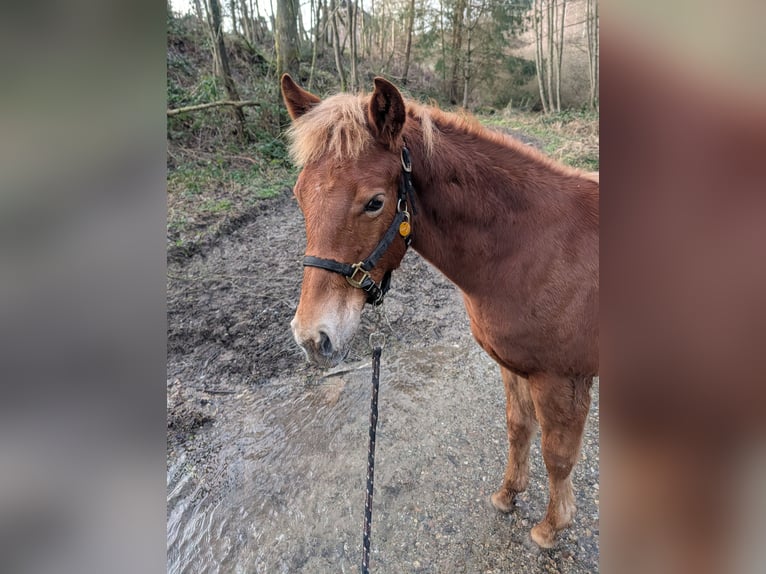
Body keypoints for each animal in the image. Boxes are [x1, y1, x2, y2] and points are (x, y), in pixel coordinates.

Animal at [280, 74, 598, 549]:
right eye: (300, 195)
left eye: (374, 202)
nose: (313, 339)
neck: (533, 246)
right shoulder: (515, 368)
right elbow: (518, 428)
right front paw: (508, 494)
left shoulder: (563, 380)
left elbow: (557, 455)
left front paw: (550, 528)